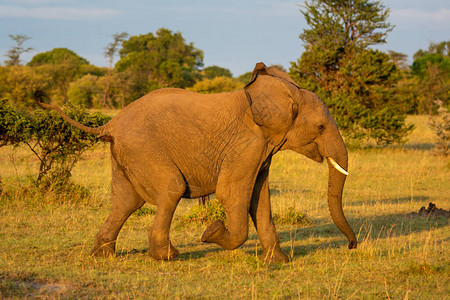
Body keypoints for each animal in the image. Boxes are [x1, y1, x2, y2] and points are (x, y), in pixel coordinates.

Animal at [35, 62, 356, 262]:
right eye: (321, 128)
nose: (352, 245)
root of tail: (110, 124)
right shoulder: (247, 146)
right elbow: (232, 194)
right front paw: (211, 232)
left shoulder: (262, 151)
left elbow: (260, 200)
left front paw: (279, 261)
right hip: (144, 149)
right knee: (170, 189)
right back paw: (168, 256)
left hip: (126, 154)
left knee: (126, 201)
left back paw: (104, 255)